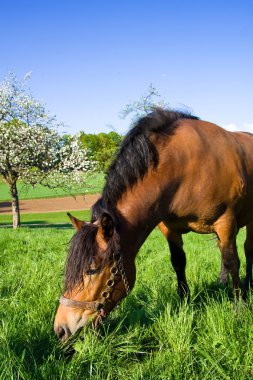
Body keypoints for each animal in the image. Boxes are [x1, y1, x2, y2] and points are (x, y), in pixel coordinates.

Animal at [54, 109, 253, 342]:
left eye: (92, 270)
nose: (61, 328)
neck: (183, 167)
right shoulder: (169, 228)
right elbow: (179, 262)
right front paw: (184, 301)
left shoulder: (226, 221)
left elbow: (233, 262)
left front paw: (239, 307)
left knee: (246, 249)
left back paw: (248, 284)